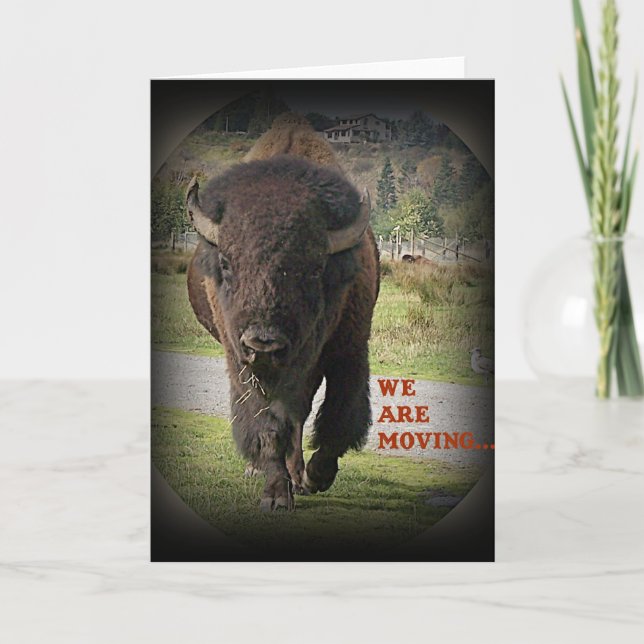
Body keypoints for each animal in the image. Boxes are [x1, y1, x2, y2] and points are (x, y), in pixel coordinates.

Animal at [186, 115, 380, 511]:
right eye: (226, 263)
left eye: (315, 269)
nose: (263, 343)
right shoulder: (244, 365)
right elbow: (268, 424)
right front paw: (275, 494)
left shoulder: (349, 351)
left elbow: (338, 415)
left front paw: (315, 477)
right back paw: (263, 471)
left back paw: (301, 476)